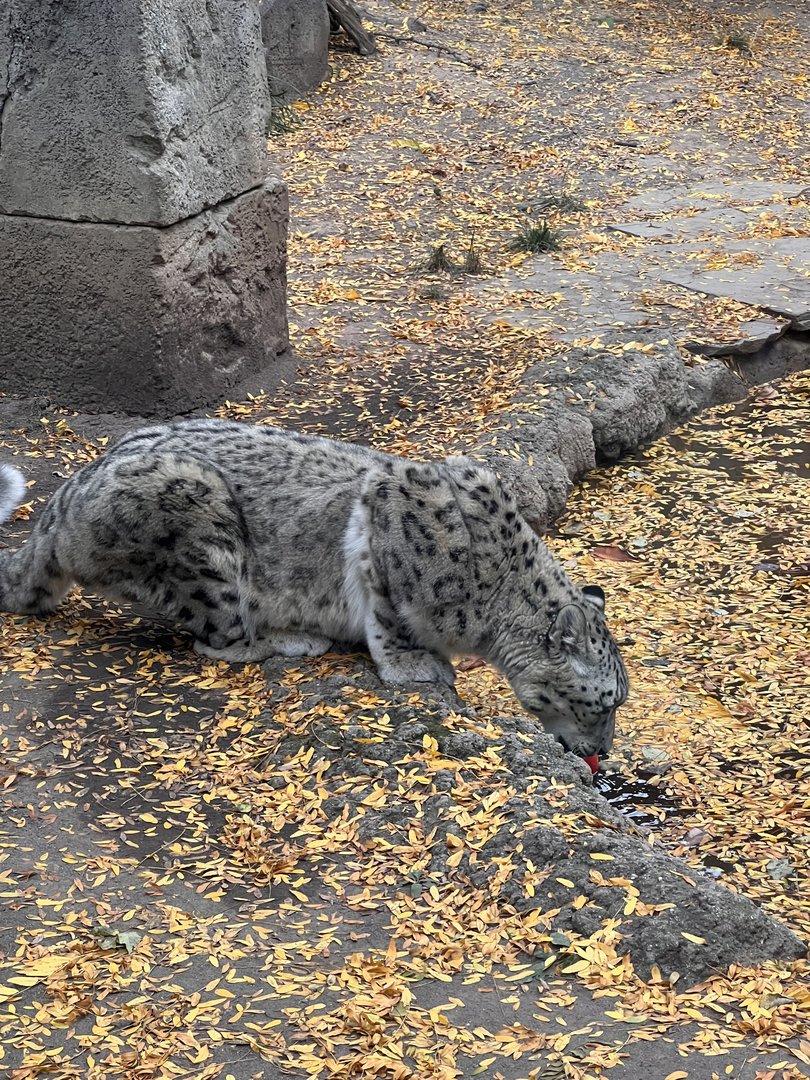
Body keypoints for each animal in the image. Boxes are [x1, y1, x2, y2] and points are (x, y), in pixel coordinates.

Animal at [0, 419, 628, 757]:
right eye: (599, 704)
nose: (601, 752)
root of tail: (64, 502)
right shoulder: (385, 533)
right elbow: (388, 616)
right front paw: (416, 664)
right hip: (200, 527)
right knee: (217, 637)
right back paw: (289, 637)